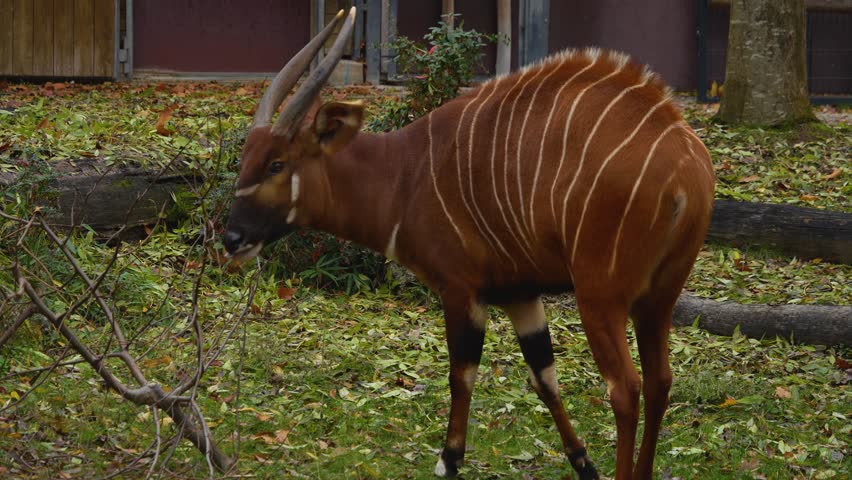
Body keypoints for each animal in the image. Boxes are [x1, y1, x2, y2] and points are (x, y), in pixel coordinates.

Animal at [223, 8, 715, 479]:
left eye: (276, 164)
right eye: (246, 158)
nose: (231, 238)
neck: (403, 175)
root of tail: (686, 169)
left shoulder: (461, 290)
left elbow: (461, 374)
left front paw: (449, 459)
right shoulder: (519, 295)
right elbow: (544, 378)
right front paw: (583, 463)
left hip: (601, 297)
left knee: (626, 388)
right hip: (657, 299)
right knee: (660, 380)